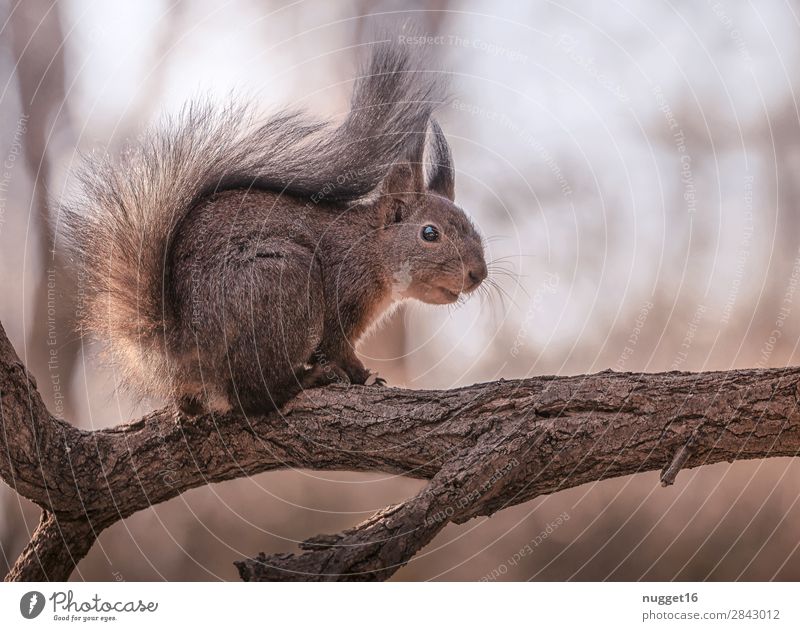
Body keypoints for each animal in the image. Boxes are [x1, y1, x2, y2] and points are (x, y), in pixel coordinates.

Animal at [61, 38, 488, 414]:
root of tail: (180, 344)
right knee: (252, 395)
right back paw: (308, 380)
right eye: (430, 233)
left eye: (474, 229)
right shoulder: (340, 298)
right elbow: (336, 347)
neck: (369, 249)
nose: (478, 274)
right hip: (285, 282)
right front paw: (363, 376)